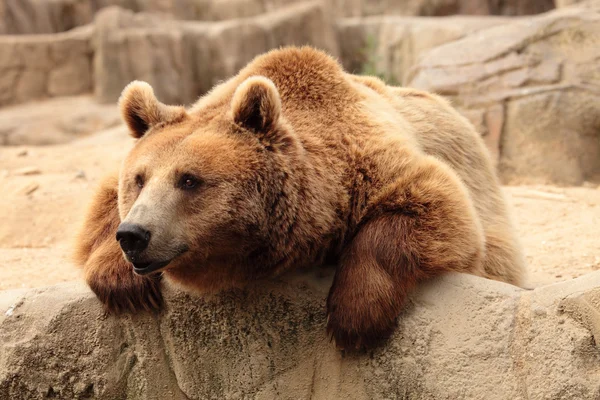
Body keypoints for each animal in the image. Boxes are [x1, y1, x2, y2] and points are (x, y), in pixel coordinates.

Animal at [75, 45, 524, 348]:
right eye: (138, 179)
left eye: (189, 180)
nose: (135, 235)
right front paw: (121, 283)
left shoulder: (372, 164)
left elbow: (438, 205)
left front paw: (354, 317)